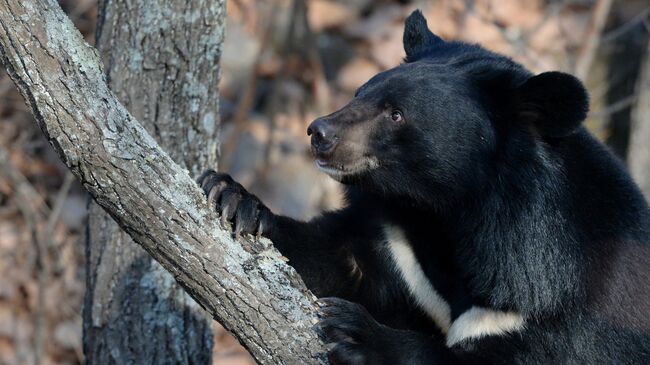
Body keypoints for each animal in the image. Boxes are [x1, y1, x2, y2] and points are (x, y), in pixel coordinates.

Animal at [197, 9, 648, 362]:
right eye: (361, 91)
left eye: (396, 114)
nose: (319, 132)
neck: (447, 211)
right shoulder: (400, 247)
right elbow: (334, 257)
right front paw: (234, 199)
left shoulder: (559, 304)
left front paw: (359, 334)